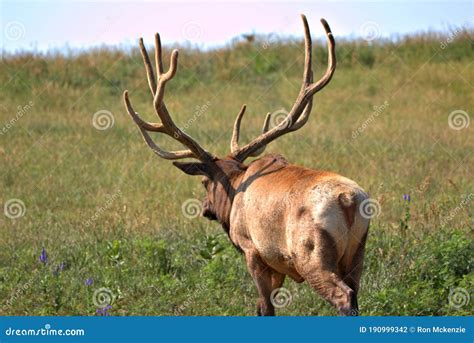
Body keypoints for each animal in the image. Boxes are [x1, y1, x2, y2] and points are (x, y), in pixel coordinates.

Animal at [123, 15, 370, 318]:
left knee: (344, 297)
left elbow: (264, 307)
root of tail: (349, 201)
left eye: (204, 182)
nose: (205, 208)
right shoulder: (277, 263)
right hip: (357, 253)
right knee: (356, 294)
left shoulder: (252, 248)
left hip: (312, 253)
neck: (235, 190)